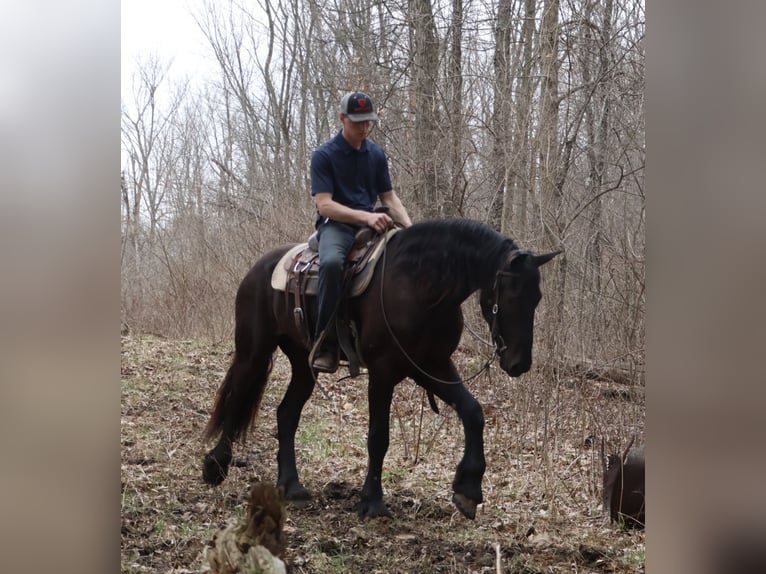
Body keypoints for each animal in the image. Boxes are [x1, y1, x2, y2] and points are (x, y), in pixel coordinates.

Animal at [202, 217, 559, 520]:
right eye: (511, 295)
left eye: (538, 298)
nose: (519, 363)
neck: (420, 287)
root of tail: (260, 268)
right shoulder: (383, 372)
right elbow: (379, 436)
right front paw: (372, 502)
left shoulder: (431, 365)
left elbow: (472, 412)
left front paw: (468, 490)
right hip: (254, 350)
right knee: (238, 395)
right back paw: (215, 466)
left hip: (304, 364)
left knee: (287, 413)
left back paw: (291, 486)